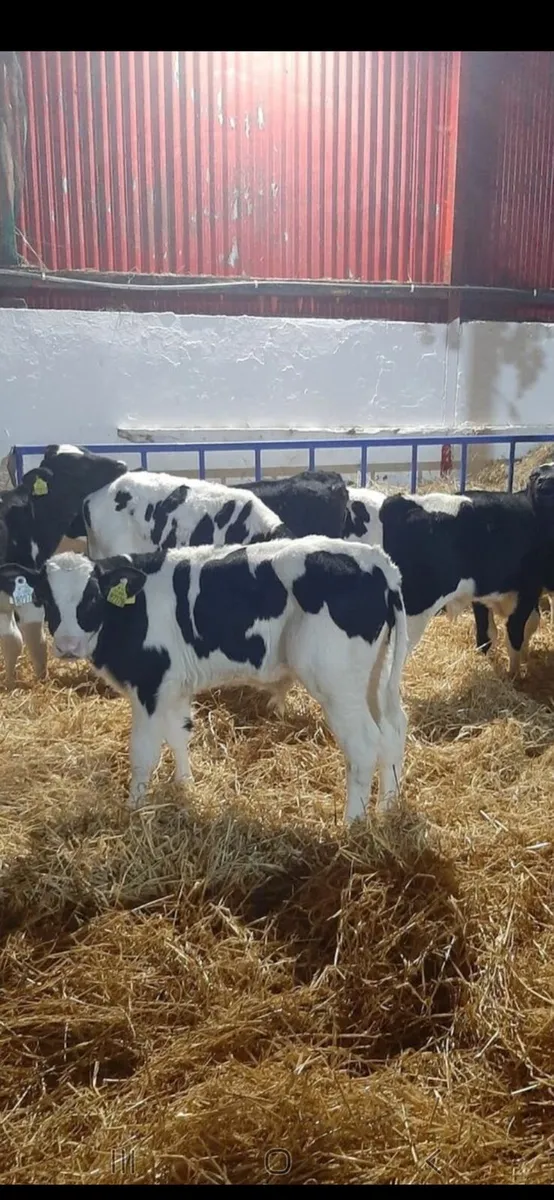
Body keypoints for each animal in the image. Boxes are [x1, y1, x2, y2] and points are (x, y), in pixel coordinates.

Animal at [0, 443, 127, 687]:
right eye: (74, 466)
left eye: (85, 451)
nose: (121, 465)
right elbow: (28, 641)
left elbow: (18, 641)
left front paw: (15, 683)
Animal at [0, 538, 409, 822]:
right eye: (47, 597)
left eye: (92, 595)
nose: (67, 645)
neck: (131, 609)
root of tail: (377, 560)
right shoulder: (171, 686)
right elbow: (179, 733)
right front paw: (185, 786)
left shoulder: (148, 684)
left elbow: (143, 753)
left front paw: (134, 809)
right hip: (374, 677)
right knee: (392, 731)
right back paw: (387, 809)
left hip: (336, 682)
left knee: (364, 746)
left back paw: (352, 825)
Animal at [341, 467, 554, 673]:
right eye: (536, 476)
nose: (542, 483)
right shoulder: (527, 591)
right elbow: (515, 634)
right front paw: (514, 675)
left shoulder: (484, 594)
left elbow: (488, 633)